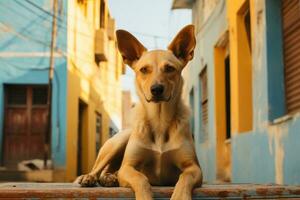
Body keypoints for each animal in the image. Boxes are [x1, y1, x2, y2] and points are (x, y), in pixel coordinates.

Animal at [75, 25, 203, 200]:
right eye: (144, 69)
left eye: (169, 68)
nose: (156, 89)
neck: (159, 119)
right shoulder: (128, 167)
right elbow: (141, 179)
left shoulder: (193, 167)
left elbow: (185, 177)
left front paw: (180, 196)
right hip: (117, 142)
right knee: (99, 167)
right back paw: (90, 177)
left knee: (109, 170)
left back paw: (110, 178)